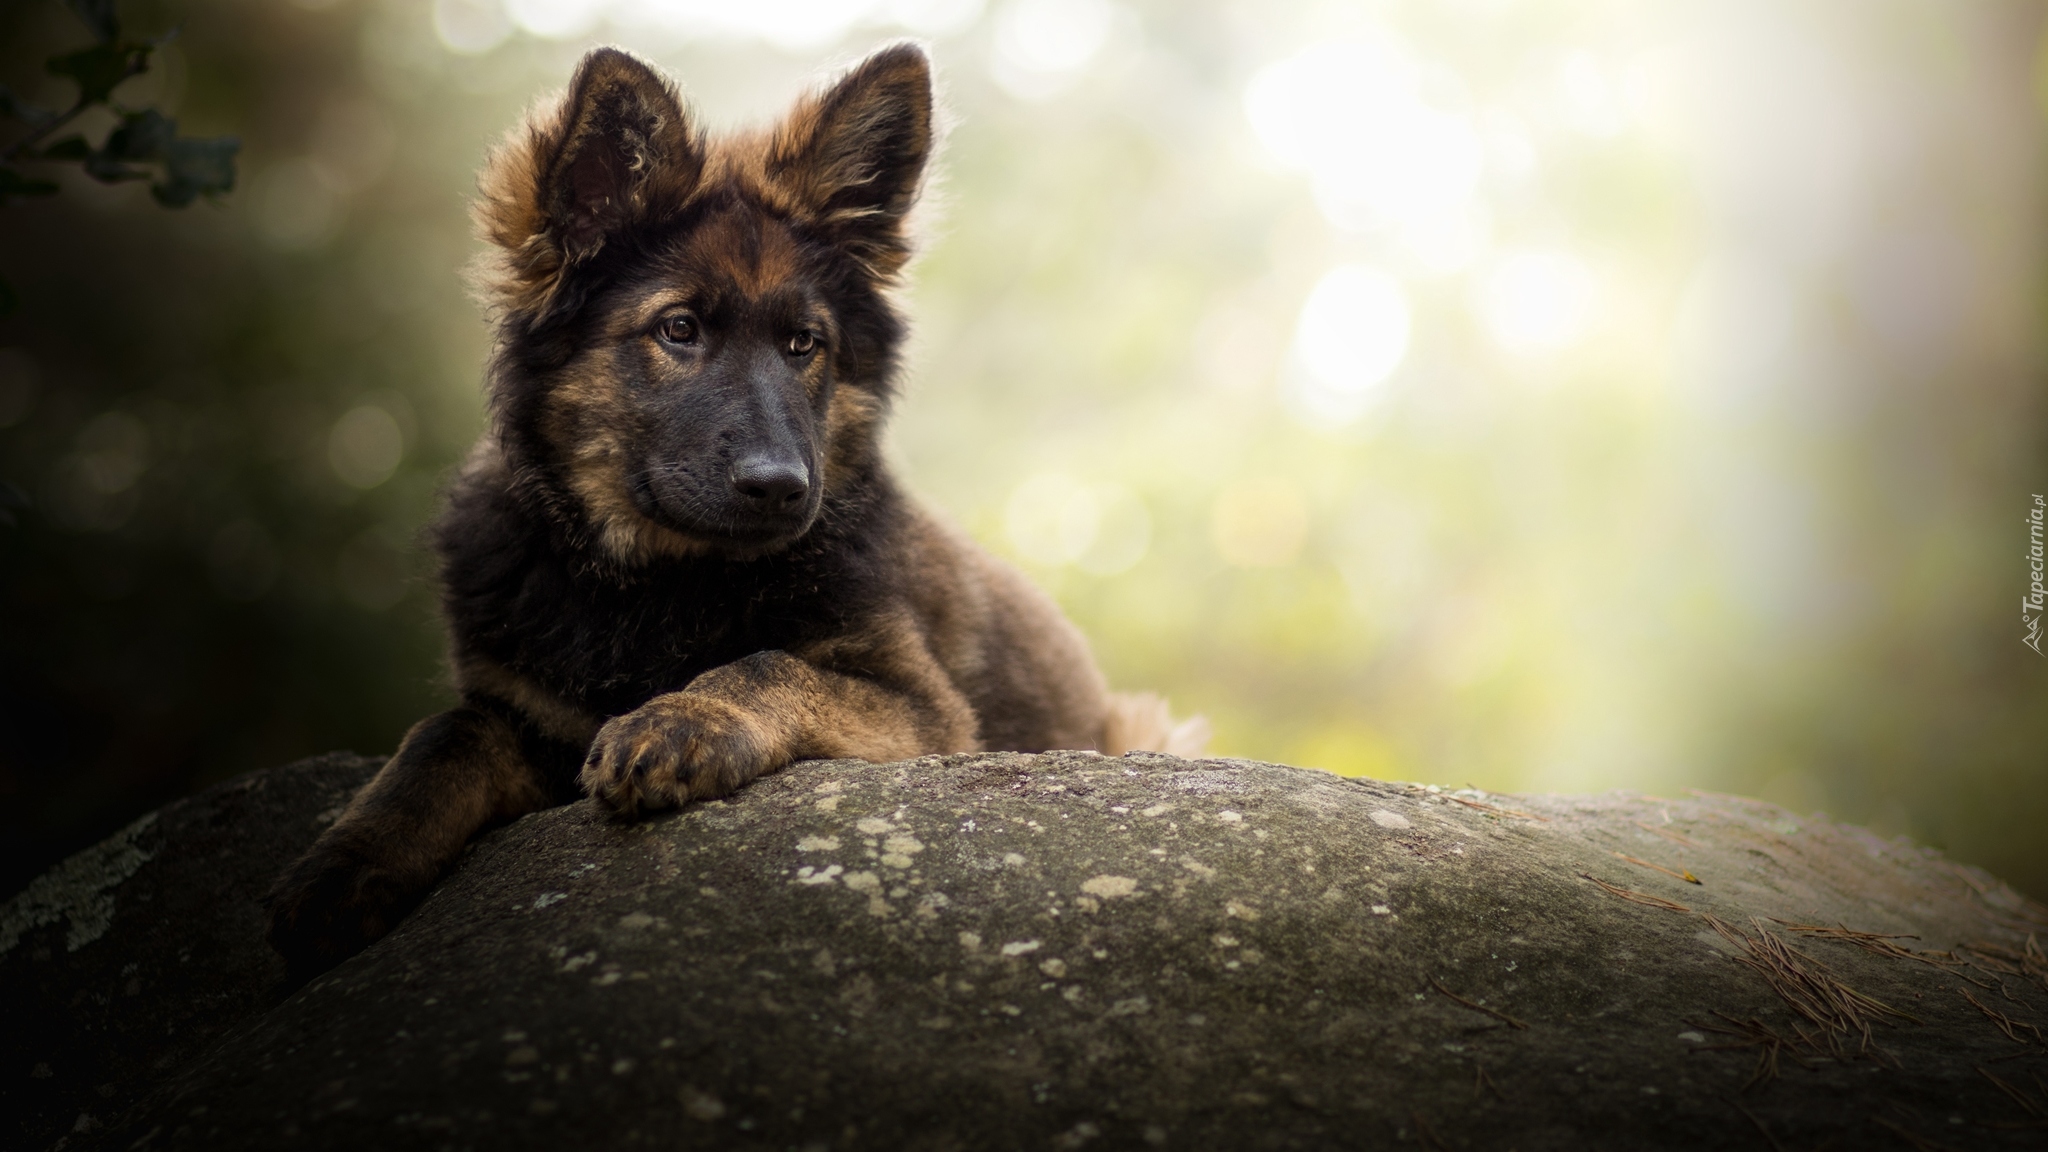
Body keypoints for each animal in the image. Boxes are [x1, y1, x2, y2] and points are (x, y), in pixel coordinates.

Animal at [266, 42, 1204, 967]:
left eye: (803, 344)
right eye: (678, 329)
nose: (782, 487)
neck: (655, 584)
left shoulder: (926, 713)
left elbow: (770, 662)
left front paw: (684, 719)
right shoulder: (524, 714)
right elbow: (441, 737)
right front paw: (344, 867)